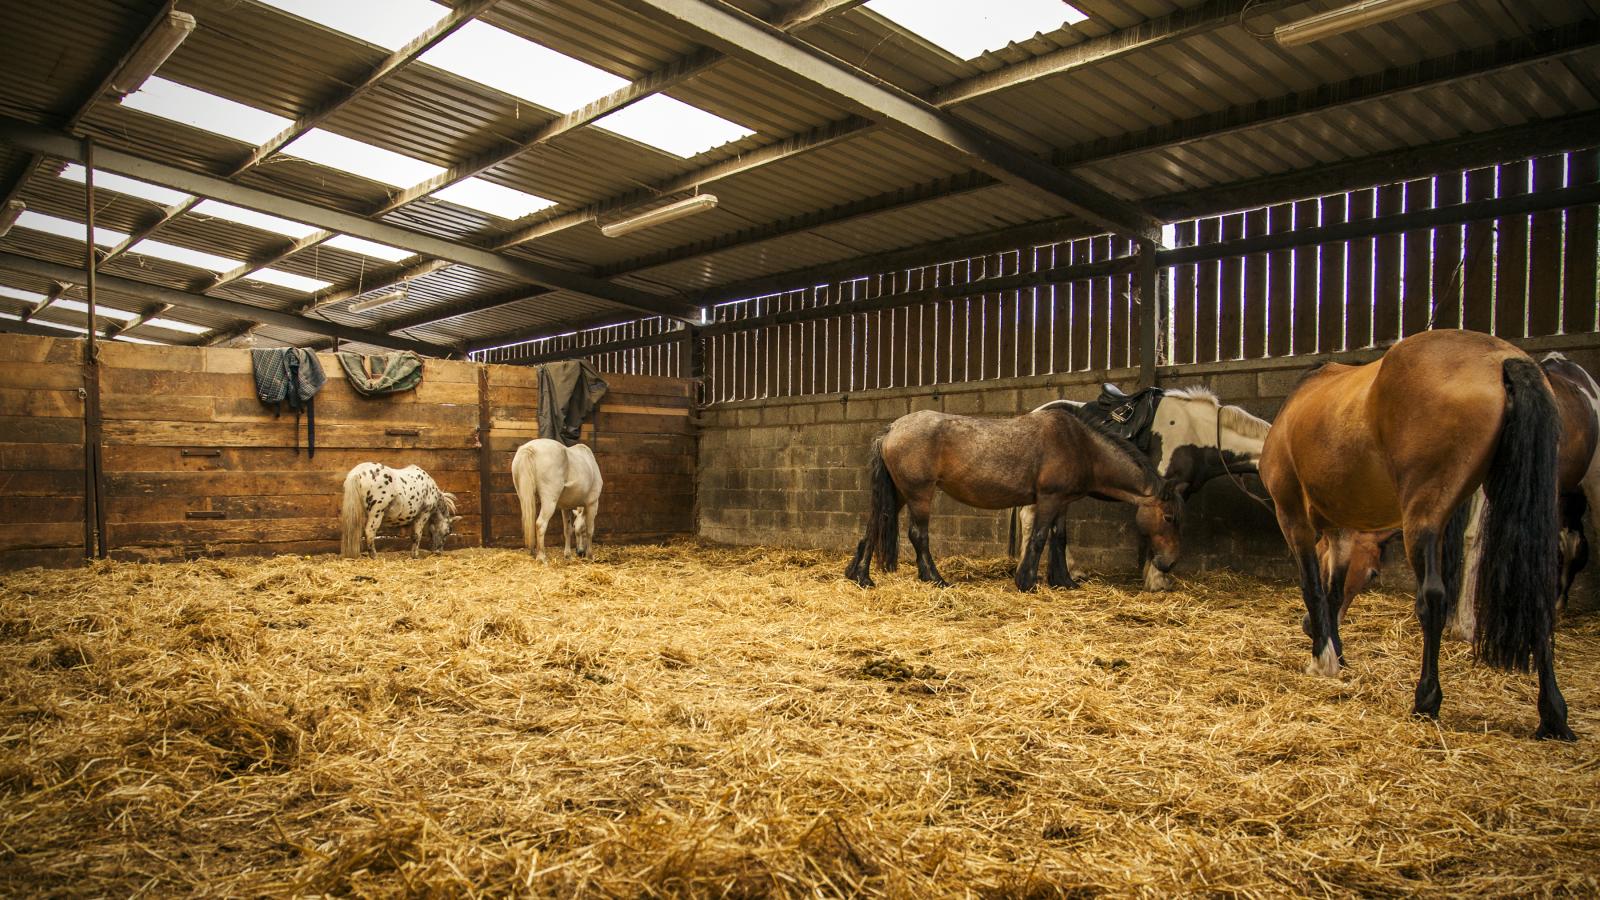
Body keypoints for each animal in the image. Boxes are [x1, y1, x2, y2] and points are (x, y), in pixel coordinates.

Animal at [844, 406, 1184, 589]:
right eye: (1168, 517)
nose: (1168, 564)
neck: (1081, 444)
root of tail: (891, 429)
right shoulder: (1048, 499)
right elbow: (1039, 537)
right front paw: (1027, 581)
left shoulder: (1063, 503)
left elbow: (1059, 538)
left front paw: (1063, 581)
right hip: (919, 495)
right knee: (918, 534)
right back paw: (935, 578)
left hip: (898, 493)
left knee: (873, 527)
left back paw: (860, 576)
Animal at [1267, 328, 1568, 736]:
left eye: (1374, 576)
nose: (1305, 628)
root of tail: (1502, 359)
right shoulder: (1343, 529)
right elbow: (1333, 590)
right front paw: (1336, 652)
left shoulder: (1292, 516)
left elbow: (1313, 586)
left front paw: (1323, 659)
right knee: (1536, 599)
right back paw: (1553, 715)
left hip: (1421, 518)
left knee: (1433, 600)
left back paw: (1427, 698)